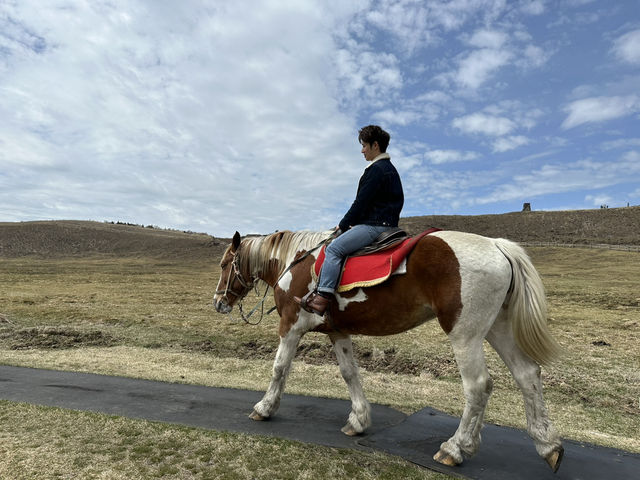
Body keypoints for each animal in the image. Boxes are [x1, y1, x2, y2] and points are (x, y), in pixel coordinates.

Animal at [212, 230, 564, 472]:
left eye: (225, 263)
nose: (218, 302)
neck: (294, 264)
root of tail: (496, 245)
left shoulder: (291, 326)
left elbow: (279, 368)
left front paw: (264, 408)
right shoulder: (337, 331)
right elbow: (350, 373)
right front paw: (358, 420)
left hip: (465, 334)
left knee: (478, 386)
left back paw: (455, 448)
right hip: (497, 328)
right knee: (527, 374)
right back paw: (547, 444)